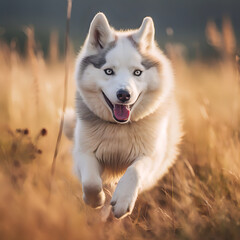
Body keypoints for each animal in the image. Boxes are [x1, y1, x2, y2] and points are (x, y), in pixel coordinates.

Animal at [64, 12, 182, 219]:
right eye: (109, 71)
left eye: (137, 72)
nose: (124, 95)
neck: (119, 128)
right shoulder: (83, 152)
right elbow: (91, 182)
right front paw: (95, 200)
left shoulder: (151, 156)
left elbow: (134, 171)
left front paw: (123, 201)